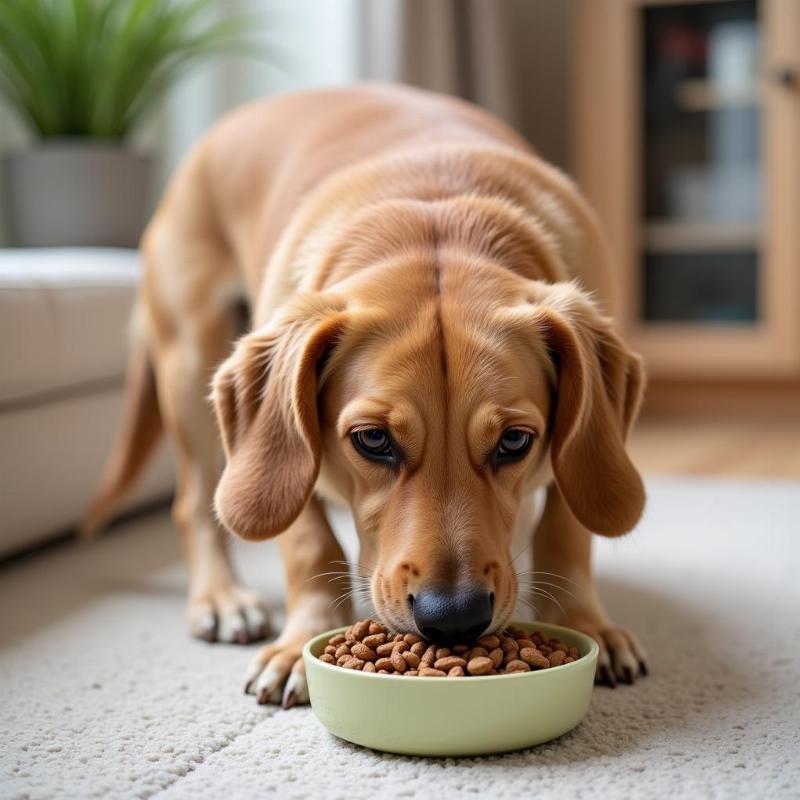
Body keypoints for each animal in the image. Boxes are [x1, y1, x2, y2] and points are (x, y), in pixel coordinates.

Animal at [86, 81, 648, 708]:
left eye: (515, 441)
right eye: (373, 440)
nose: (453, 617)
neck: (434, 207)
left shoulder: (578, 448)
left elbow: (567, 530)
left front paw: (584, 622)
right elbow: (308, 542)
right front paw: (299, 643)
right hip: (188, 361)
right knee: (192, 506)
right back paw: (221, 597)